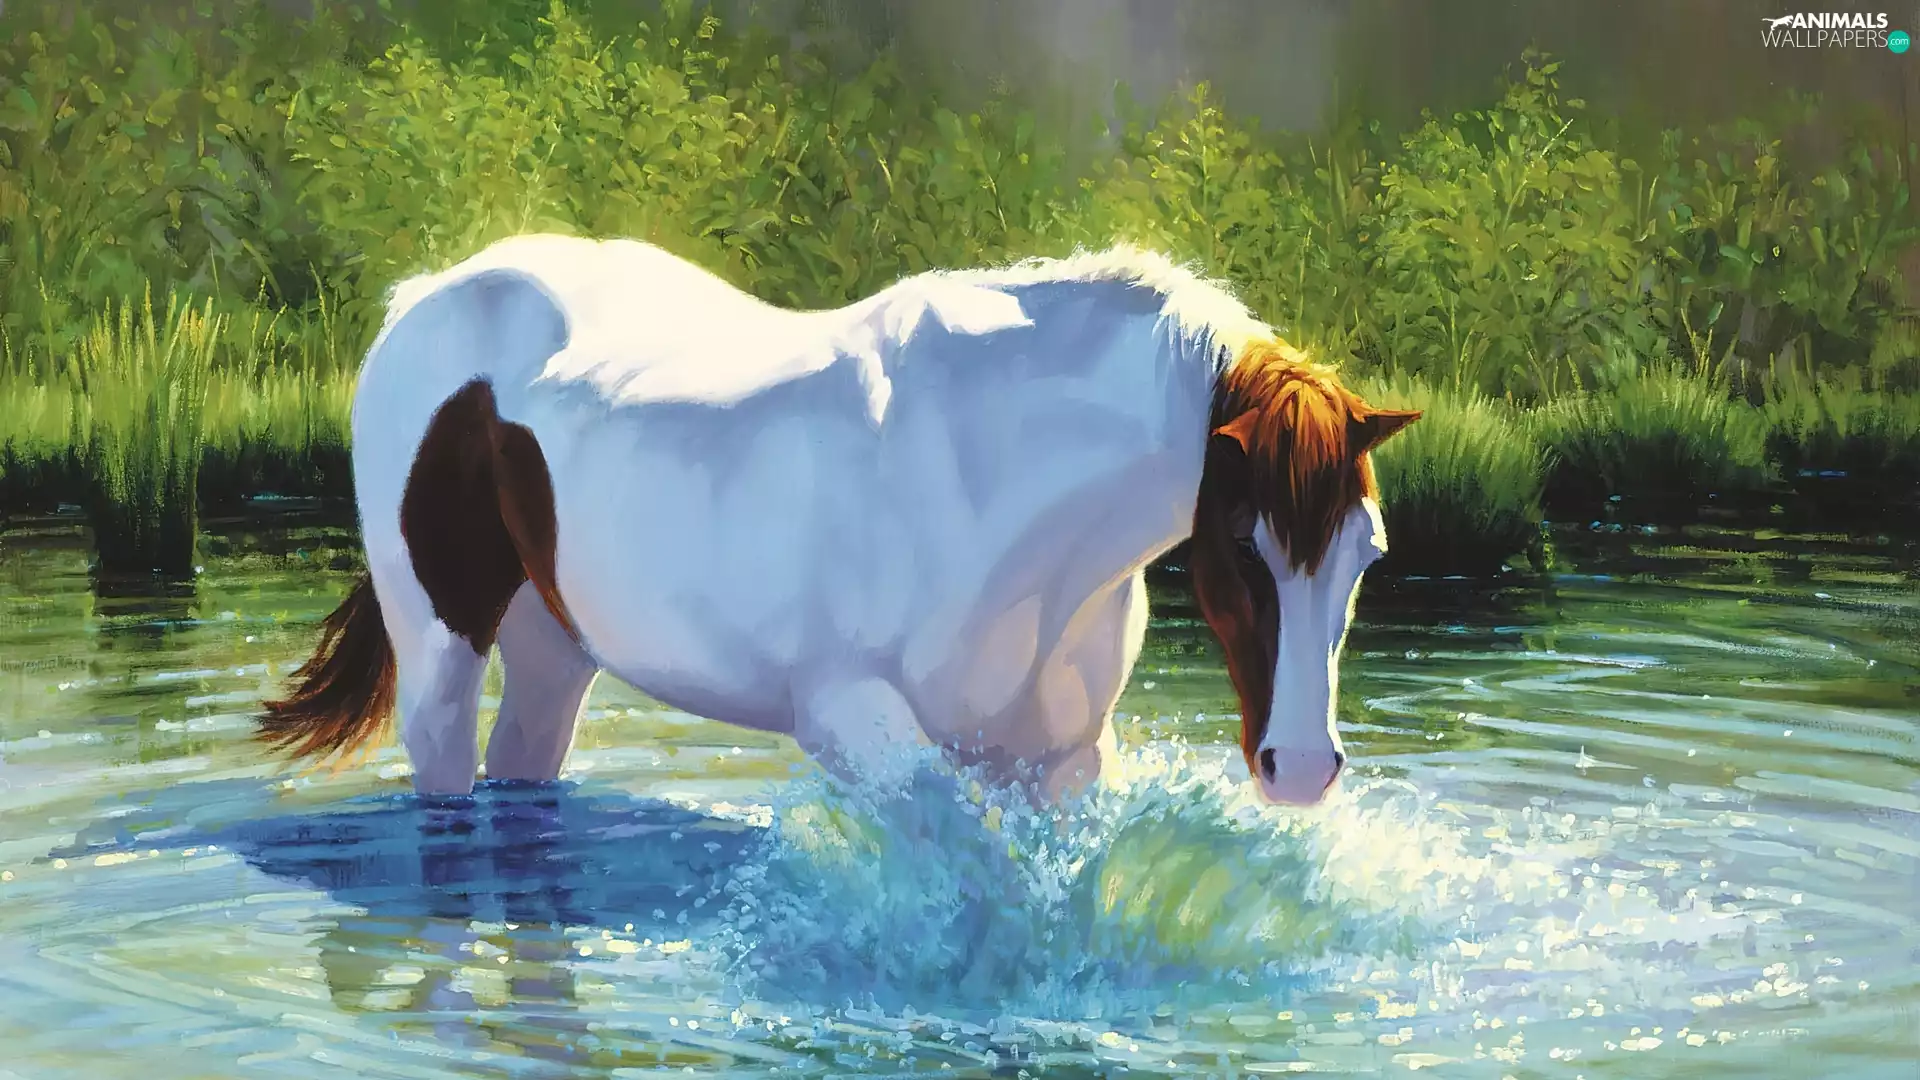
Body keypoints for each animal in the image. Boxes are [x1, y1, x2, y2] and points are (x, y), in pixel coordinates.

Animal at [257, 235, 1418, 807]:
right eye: (1242, 548)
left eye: (1365, 554)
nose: (1302, 770)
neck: (997, 485)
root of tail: (429, 291)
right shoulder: (855, 723)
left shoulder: (1058, 760)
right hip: (440, 646)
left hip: (555, 645)